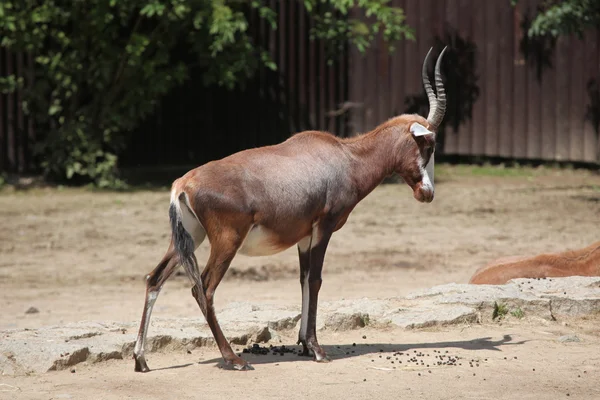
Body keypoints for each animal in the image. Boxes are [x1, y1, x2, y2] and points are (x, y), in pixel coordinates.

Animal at [134, 44, 448, 372]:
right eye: (429, 145)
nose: (427, 193)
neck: (345, 156)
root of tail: (184, 183)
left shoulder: (304, 236)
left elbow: (303, 279)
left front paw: (305, 345)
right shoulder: (323, 228)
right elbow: (316, 280)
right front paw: (318, 349)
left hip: (189, 238)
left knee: (154, 279)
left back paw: (141, 359)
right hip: (226, 241)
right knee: (203, 288)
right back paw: (234, 359)